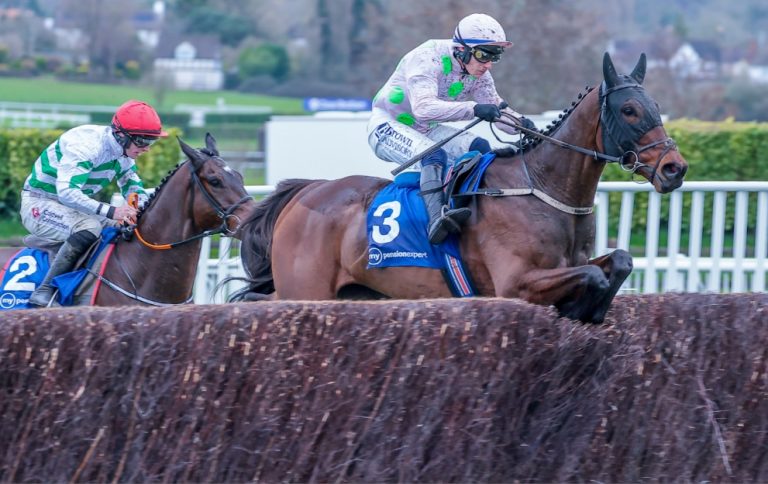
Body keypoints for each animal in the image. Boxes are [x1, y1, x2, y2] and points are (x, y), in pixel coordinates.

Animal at [236, 53, 688, 324]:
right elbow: (593, 275)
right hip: (307, 289)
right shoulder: (516, 284)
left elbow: (620, 261)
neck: (541, 187)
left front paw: (589, 309)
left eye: (656, 107)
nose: (675, 168)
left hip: (354, 293)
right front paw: (583, 305)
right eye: (629, 110)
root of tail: (303, 193)